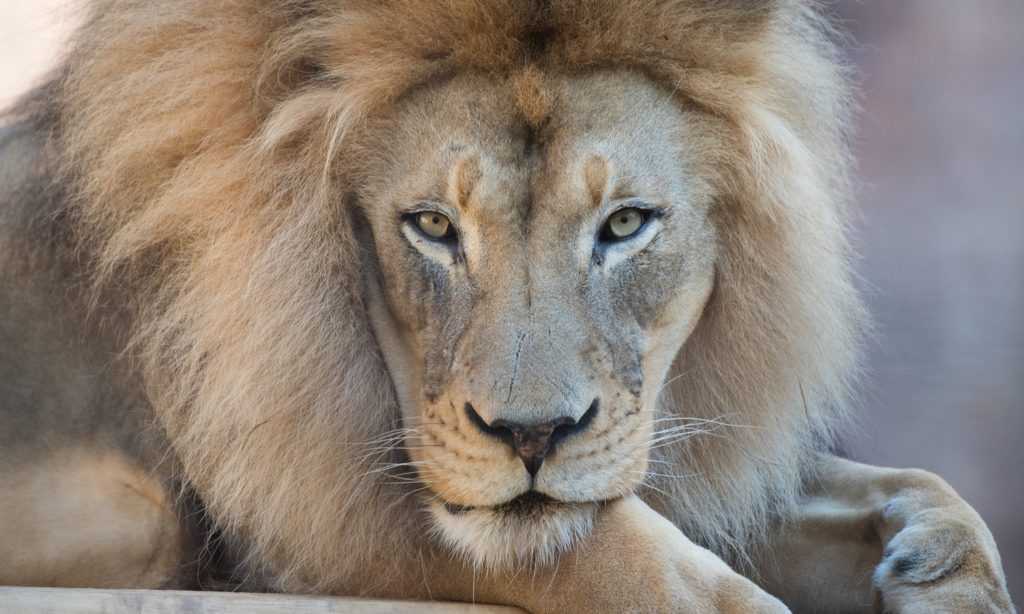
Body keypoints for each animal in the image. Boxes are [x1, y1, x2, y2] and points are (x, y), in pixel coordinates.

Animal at [0, 0, 1011, 609]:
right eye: (433, 225)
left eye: (625, 223)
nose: (532, 436)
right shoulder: (313, 502)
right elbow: (645, 569)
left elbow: (924, 490)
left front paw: (936, 571)